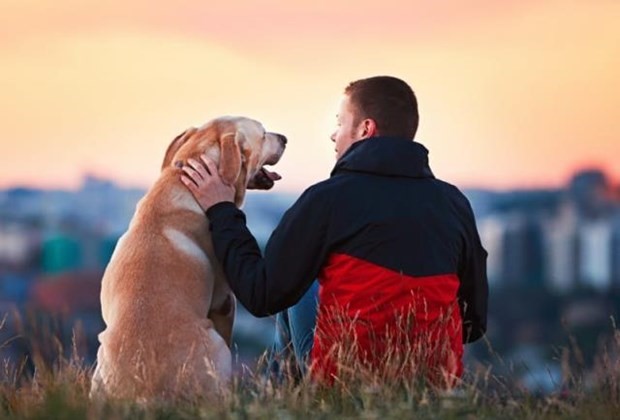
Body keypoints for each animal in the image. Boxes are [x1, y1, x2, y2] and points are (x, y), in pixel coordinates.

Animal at [90, 116, 288, 402]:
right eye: (263, 134)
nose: (285, 138)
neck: (182, 183)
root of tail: (144, 392)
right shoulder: (224, 301)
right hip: (215, 345)